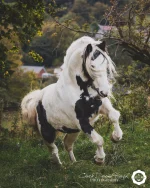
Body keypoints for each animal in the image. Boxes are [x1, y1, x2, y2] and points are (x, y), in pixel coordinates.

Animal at [21, 36, 123, 164]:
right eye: (92, 66)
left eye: (106, 64)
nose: (105, 92)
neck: (78, 89)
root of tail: (37, 98)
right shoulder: (82, 122)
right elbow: (98, 140)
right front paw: (99, 159)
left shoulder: (102, 106)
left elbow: (114, 115)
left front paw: (116, 137)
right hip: (47, 133)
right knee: (53, 150)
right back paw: (60, 166)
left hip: (73, 131)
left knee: (67, 144)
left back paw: (74, 163)